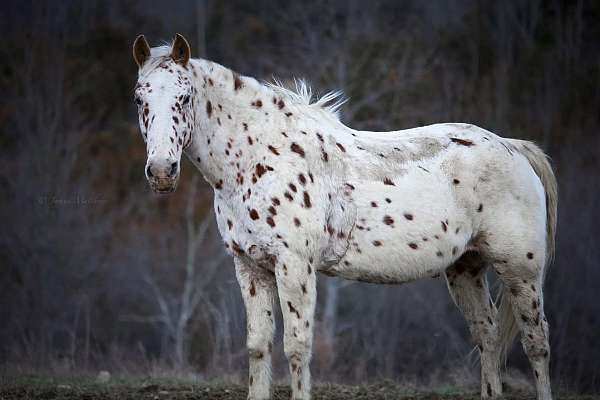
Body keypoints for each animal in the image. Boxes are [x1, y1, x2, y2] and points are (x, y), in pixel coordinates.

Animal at [131, 32, 556, 398]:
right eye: (139, 100)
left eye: (185, 97)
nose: (162, 172)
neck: (260, 157)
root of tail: (514, 148)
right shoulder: (250, 267)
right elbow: (258, 346)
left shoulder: (295, 266)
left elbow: (297, 347)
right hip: (465, 268)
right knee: (486, 336)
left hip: (520, 270)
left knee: (536, 343)